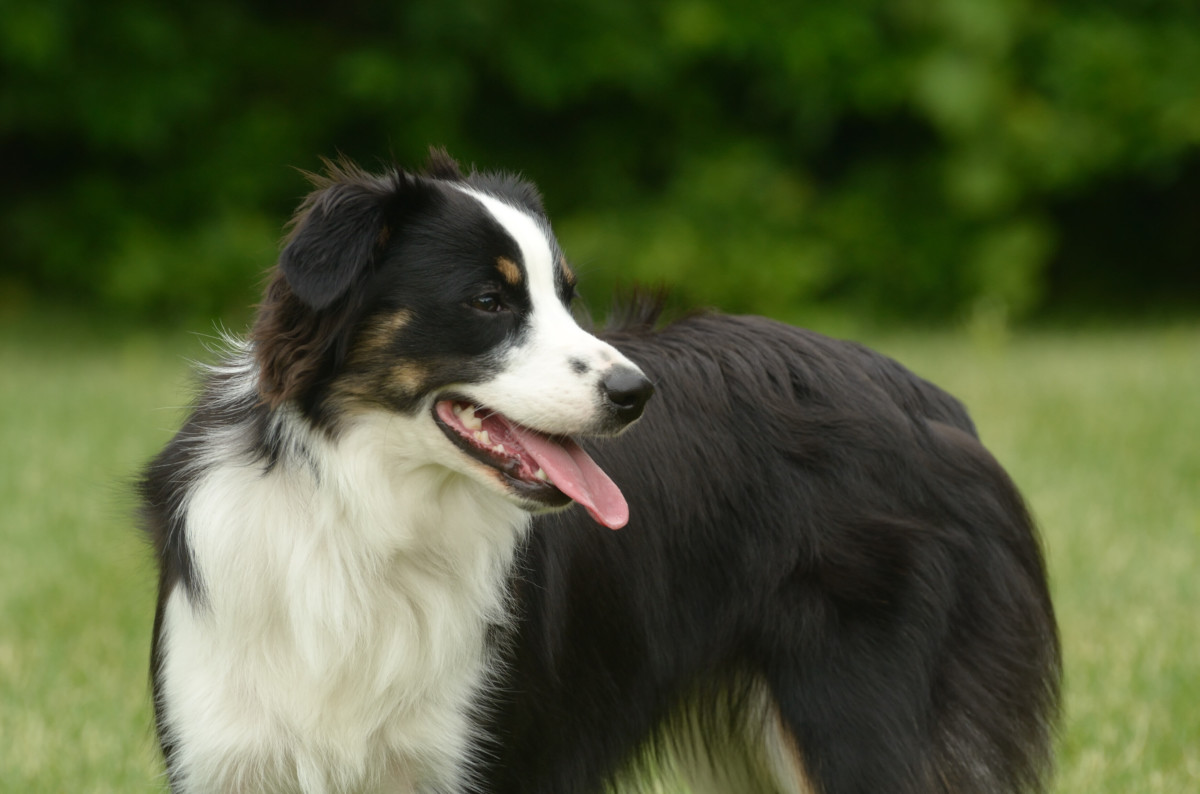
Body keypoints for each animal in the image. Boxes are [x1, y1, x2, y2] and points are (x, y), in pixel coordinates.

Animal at [140, 151, 1060, 794]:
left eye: (567, 296)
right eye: (488, 301)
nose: (635, 393)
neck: (368, 515)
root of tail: (931, 401)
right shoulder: (228, 746)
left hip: (857, 717)